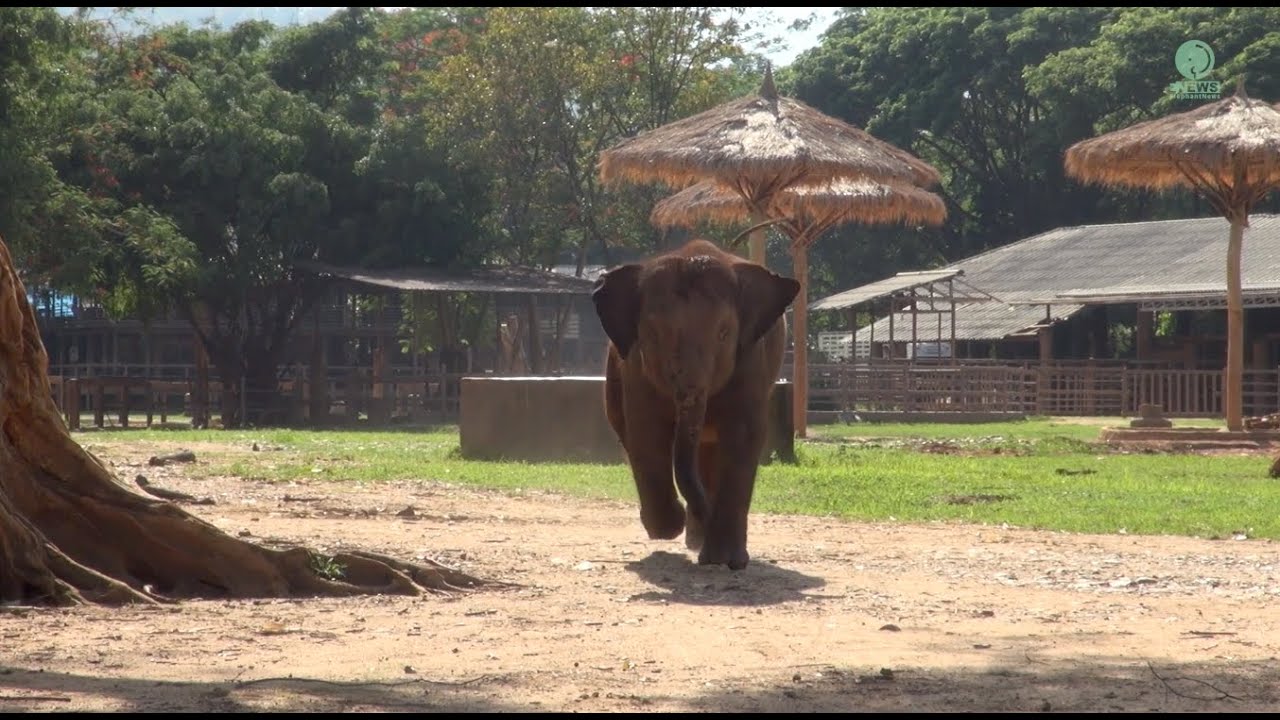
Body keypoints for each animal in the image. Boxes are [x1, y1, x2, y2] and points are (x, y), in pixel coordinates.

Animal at [591, 237, 801, 570]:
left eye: (724, 333)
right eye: (653, 335)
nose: (706, 513)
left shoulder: (751, 358)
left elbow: (744, 434)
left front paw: (728, 561)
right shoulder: (635, 365)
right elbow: (646, 430)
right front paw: (668, 528)